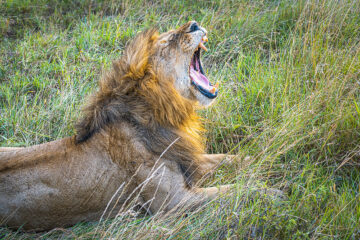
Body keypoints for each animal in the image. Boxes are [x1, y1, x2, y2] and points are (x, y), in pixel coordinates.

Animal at [0, 21, 242, 232]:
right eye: (166, 42)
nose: (194, 23)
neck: (167, 114)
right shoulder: (174, 202)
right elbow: (232, 190)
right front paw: (253, 187)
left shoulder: (189, 161)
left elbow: (230, 159)